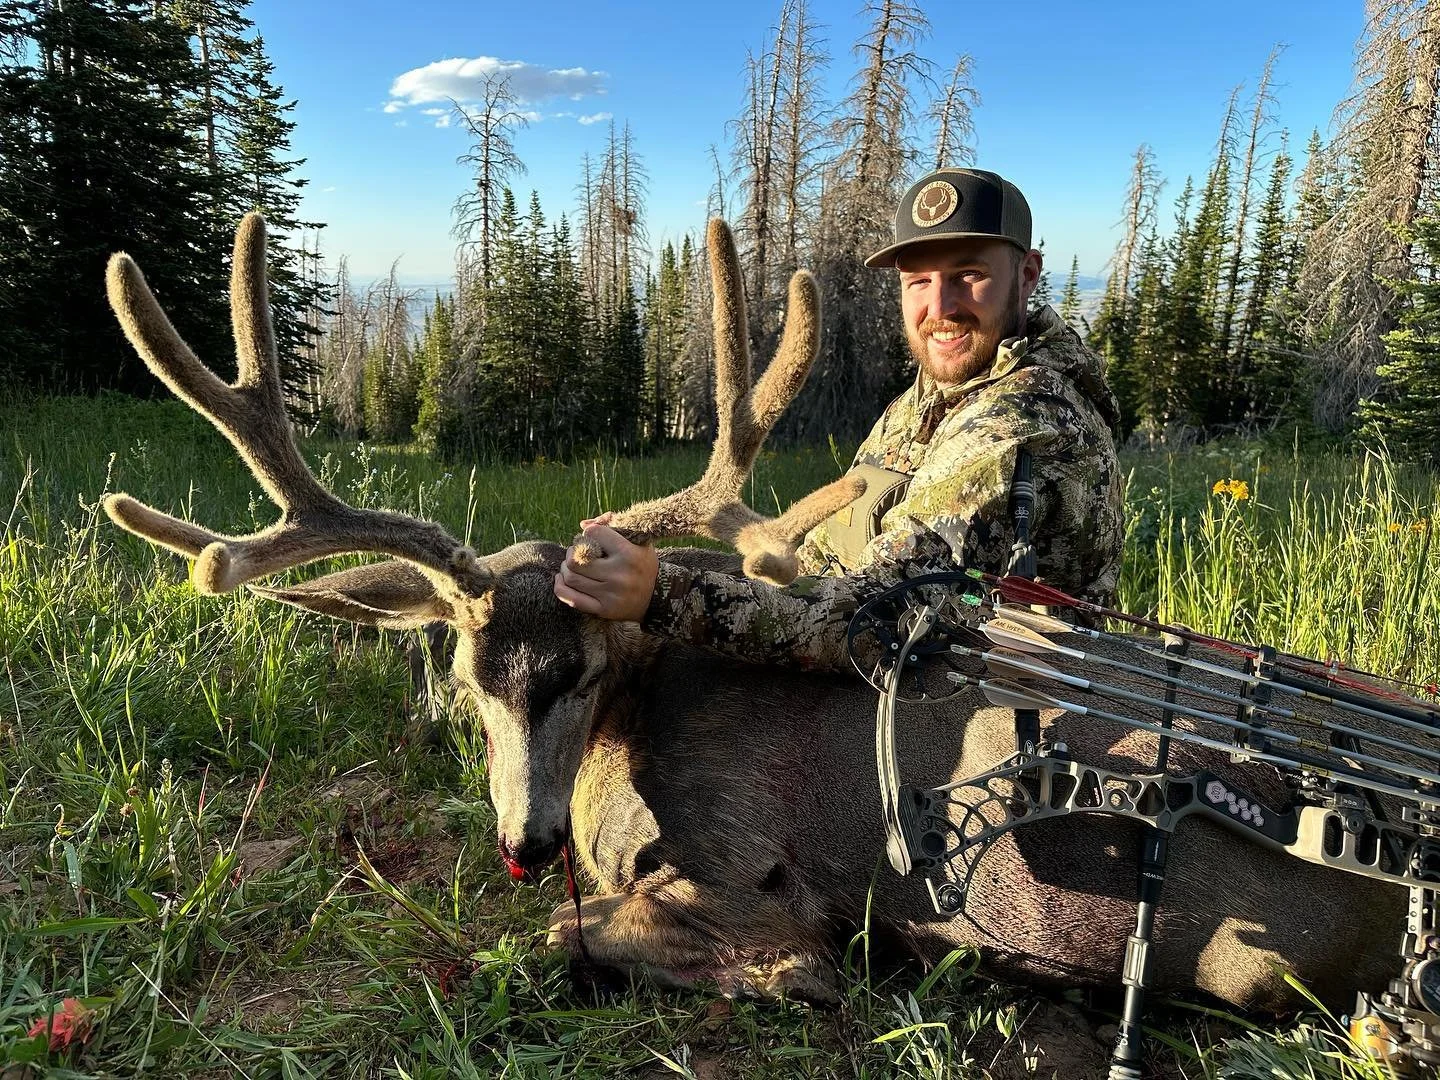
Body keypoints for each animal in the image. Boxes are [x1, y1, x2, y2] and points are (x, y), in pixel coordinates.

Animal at [102, 213, 1405, 1019]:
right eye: (467, 679)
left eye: (579, 672)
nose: (528, 843)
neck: (624, 744)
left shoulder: (747, 869)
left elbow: (556, 941)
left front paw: (783, 978)